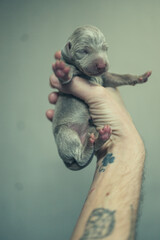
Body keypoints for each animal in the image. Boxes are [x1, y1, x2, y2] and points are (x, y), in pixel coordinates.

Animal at [52, 24, 151, 171]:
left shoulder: (105, 77)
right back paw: (90, 145)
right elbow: (67, 76)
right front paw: (62, 71)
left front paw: (138, 77)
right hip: (64, 133)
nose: (102, 65)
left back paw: (101, 138)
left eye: (105, 48)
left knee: (95, 146)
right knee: (79, 156)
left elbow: (118, 77)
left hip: (92, 129)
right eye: (83, 51)